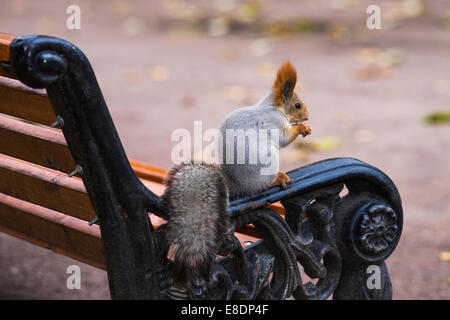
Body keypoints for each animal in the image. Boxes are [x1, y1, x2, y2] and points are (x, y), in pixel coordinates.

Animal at [160, 61, 312, 294]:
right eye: (297, 105)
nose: (307, 117)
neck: (272, 107)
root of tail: (235, 185)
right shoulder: (275, 123)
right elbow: (285, 138)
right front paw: (302, 128)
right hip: (268, 162)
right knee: (264, 183)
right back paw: (279, 178)